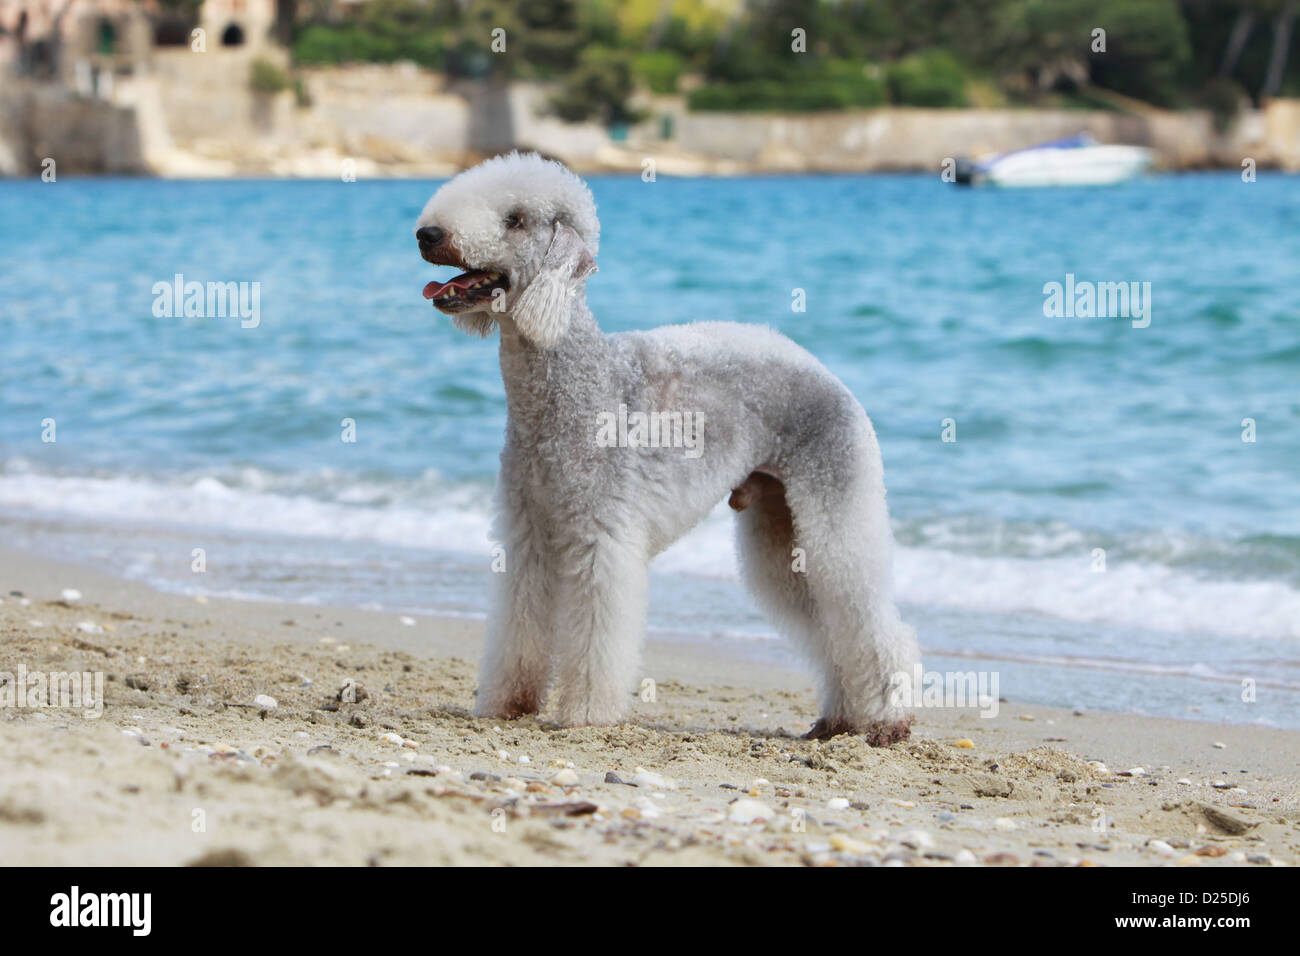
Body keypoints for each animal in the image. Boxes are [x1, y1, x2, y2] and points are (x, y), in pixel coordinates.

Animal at [413, 153, 915, 743]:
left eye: (514, 219)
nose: (427, 234)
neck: (576, 381)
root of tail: (828, 375)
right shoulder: (529, 533)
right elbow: (520, 623)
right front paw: (507, 704)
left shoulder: (601, 538)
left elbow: (597, 635)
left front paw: (587, 713)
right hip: (781, 525)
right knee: (826, 623)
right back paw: (840, 720)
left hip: (834, 510)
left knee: (868, 617)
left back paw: (887, 721)